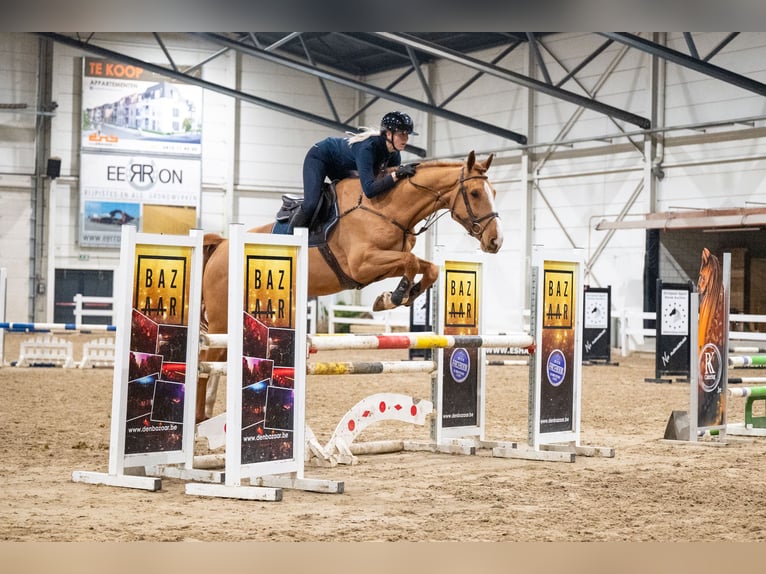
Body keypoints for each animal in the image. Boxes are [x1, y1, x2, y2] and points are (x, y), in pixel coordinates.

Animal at [196, 152, 504, 424]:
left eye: (494, 192)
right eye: (475, 193)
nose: (495, 241)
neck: (386, 208)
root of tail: (222, 245)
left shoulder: (378, 266)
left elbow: (427, 267)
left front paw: (393, 297)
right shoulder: (362, 264)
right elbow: (411, 262)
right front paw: (395, 296)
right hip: (222, 319)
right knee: (205, 360)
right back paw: (199, 418)